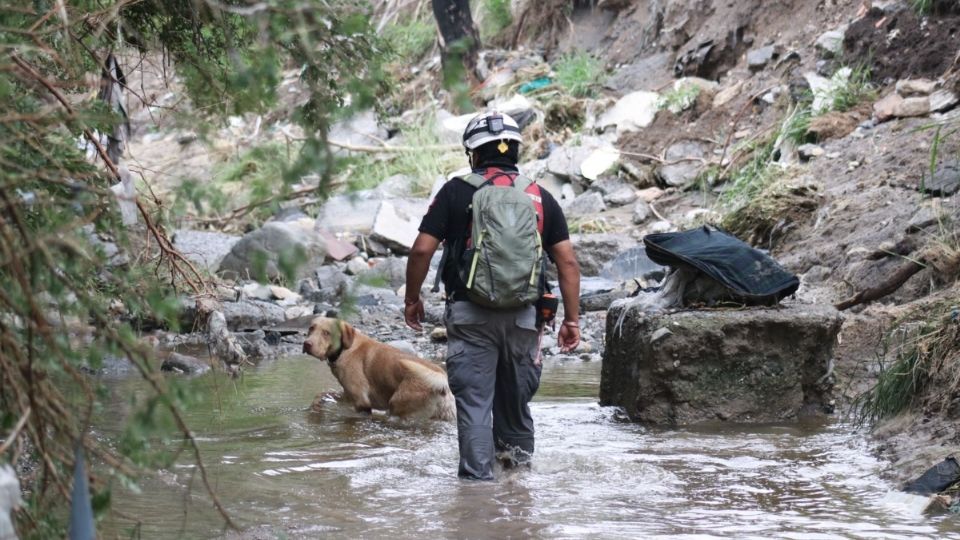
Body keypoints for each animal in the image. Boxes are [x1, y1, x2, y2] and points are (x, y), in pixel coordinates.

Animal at [304, 316, 458, 422]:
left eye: (326, 333)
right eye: (311, 328)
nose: (306, 344)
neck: (344, 350)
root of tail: (441, 381)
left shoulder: (361, 402)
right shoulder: (348, 395)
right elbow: (321, 395)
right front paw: (314, 408)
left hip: (397, 405)